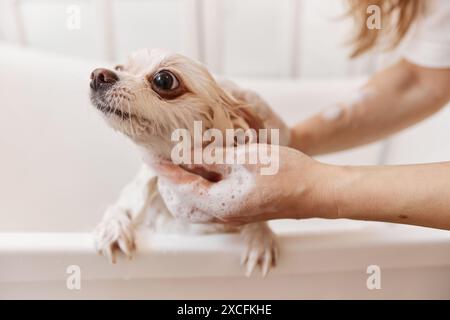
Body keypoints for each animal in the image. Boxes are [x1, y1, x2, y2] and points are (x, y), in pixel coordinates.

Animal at [89, 48, 290, 276]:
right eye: (120, 67)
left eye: (164, 80)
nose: (98, 75)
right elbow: (117, 208)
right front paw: (112, 230)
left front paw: (260, 237)